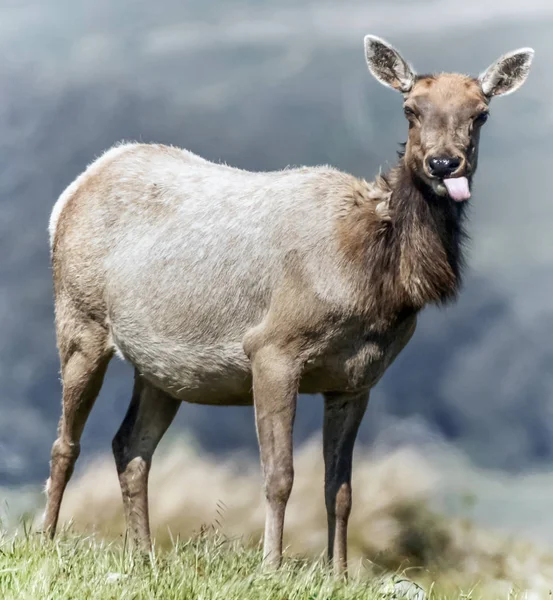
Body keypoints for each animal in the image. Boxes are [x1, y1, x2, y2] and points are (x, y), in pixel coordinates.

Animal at [45, 36, 532, 572]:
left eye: (481, 113)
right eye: (410, 109)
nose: (444, 164)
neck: (371, 280)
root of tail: (71, 192)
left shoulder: (358, 379)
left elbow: (340, 488)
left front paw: (339, 574)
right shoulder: (273, 348)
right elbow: (280, 476)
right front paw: (271, 566)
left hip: (161, 367)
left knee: (130, 445)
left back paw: (144, 555)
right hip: (80, 317)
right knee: (66, 441)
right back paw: (44, 539)